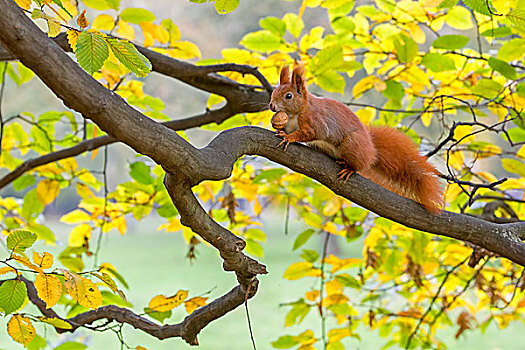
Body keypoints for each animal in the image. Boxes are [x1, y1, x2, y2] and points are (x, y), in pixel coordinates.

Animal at [270, 65, 442, 213]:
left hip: (352, 145)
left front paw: (289, 137)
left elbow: (310, 133)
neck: (296, 112)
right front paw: (279, 129)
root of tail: (372, 151)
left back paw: (349, 168)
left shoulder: (315, 121)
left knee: (358, 165)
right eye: (274, 92)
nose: (271, 106)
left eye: (288, 96)